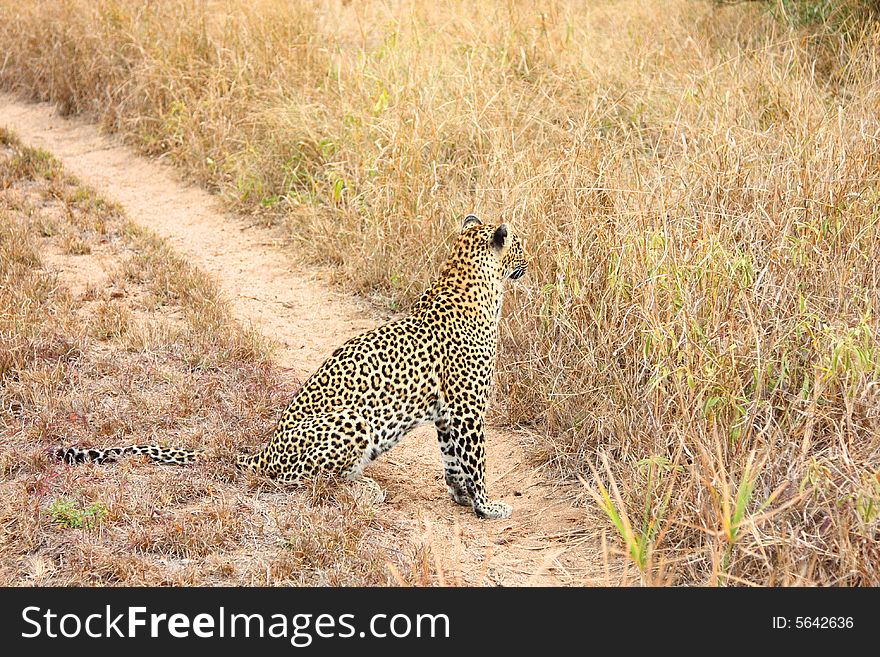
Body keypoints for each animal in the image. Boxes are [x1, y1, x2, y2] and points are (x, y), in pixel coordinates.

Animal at [60, 215, 536, 516]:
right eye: (520, 245)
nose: (531, 262)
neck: (472, 287)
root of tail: (264, 451)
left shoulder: (447, 413)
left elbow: (453, 459)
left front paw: (462, 498)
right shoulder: (469, 409)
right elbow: (476, 460)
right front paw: (488, 506)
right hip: (353, 422)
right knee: (307, 483)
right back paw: (365, 488)